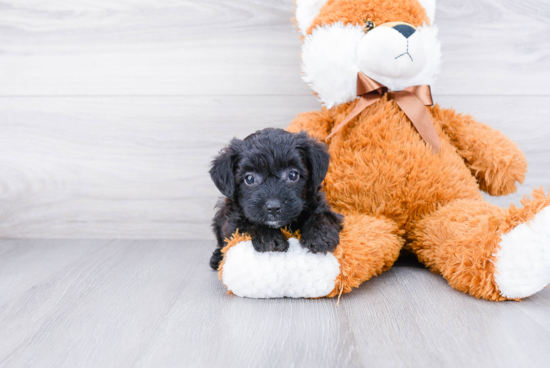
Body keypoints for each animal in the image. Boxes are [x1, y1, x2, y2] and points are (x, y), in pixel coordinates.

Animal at [209, 128, 342, 268]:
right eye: (249, 179)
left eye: (293, 175)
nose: (273, 207)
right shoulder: (232, 221)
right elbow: (247, 225)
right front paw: (269, 237)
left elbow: (323, 215)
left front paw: (319, 235)